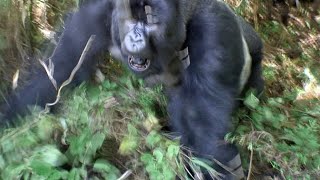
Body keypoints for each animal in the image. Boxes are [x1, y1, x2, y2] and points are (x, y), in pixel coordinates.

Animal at [0, 0, 262, 179]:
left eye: (150, 19)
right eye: (130, 18)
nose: (135, 37)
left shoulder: (215, 27)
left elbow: (204, 133)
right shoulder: (100, 10)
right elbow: (59, 71)